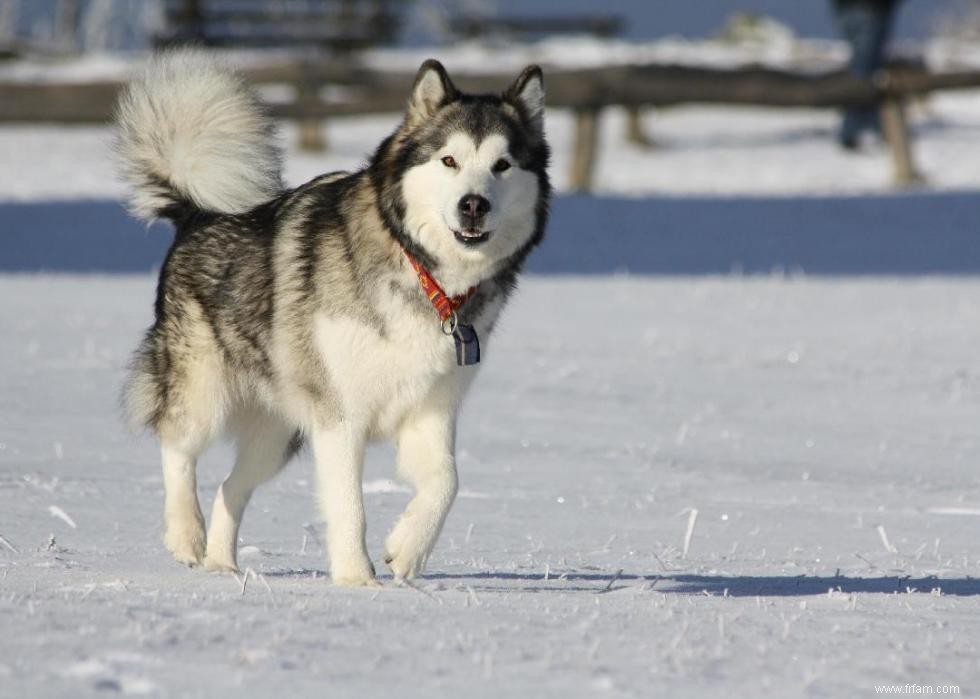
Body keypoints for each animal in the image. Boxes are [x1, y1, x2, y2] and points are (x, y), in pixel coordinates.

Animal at [117, 52, 548, 584]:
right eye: (449, 160)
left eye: (502, 165)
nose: (474, 205)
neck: (423, 273)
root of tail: (197, 213)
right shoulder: (340, 417)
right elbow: (349, 506)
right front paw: (357, 580)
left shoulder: (431, 410)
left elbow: (447, 482)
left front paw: (407, 550)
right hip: (204, 390)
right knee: (177, 446)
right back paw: (186, 534)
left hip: (279, 433)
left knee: (230, 487)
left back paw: (222, 565)